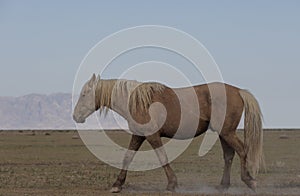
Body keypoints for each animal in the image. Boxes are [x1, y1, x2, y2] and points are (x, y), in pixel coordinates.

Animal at [73, 74, 264, 193]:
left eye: (84, 94)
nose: (75, 116)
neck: (137, 101)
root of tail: (238, 91)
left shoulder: (152, 136)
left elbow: (162, 157)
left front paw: (172, 184)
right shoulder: (138, 135)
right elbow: (127, 157)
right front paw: (117, 185)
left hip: (227, 132)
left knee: (242, 151)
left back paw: (250, 181)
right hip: (223, 133)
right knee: (229, 155)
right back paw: (224, 186)